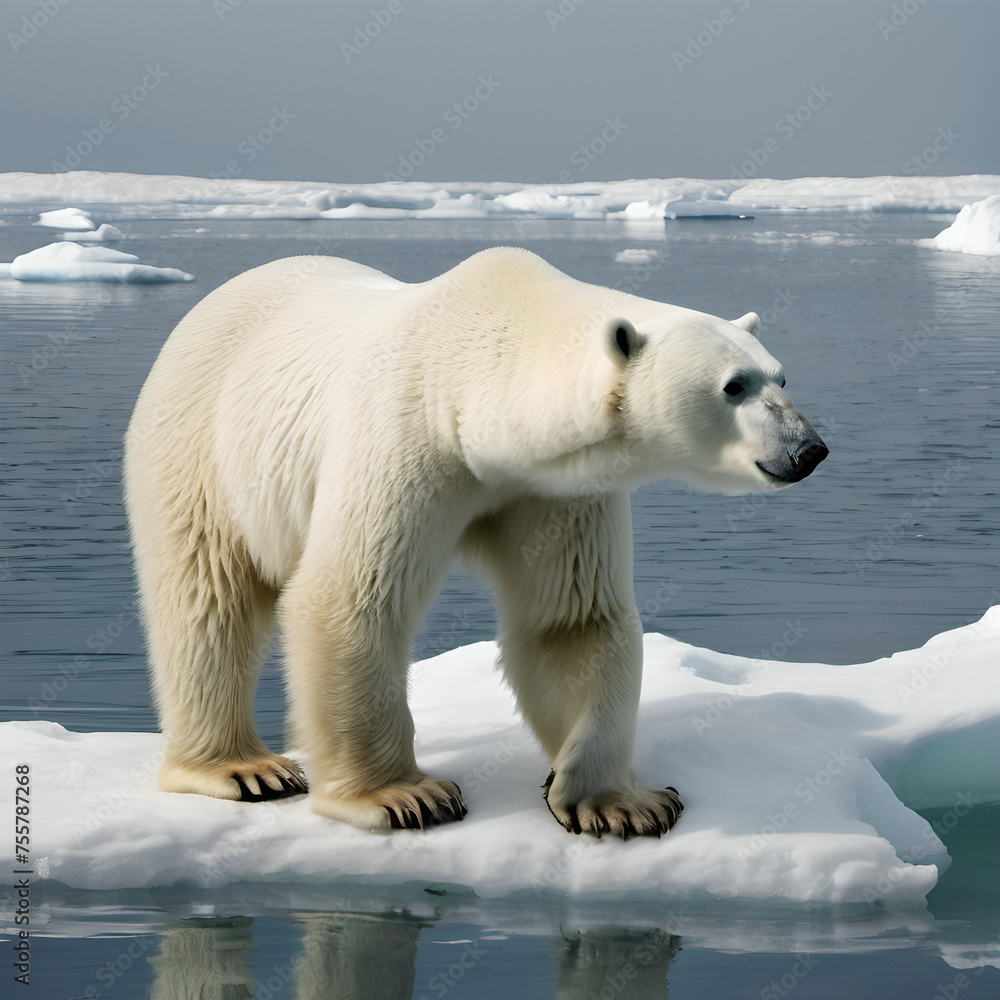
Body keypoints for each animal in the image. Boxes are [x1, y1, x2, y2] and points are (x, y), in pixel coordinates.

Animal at [123, 247, 827, 839]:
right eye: (733, 385)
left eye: (782, 376)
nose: (810, 450)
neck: (471, 384)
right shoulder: (405, 434)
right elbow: (350, 598)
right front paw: (404, 795)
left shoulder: (553, 487)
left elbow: (570, 620)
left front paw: (620, 803)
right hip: (198, 441)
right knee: (206, 595)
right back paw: (243, 768)